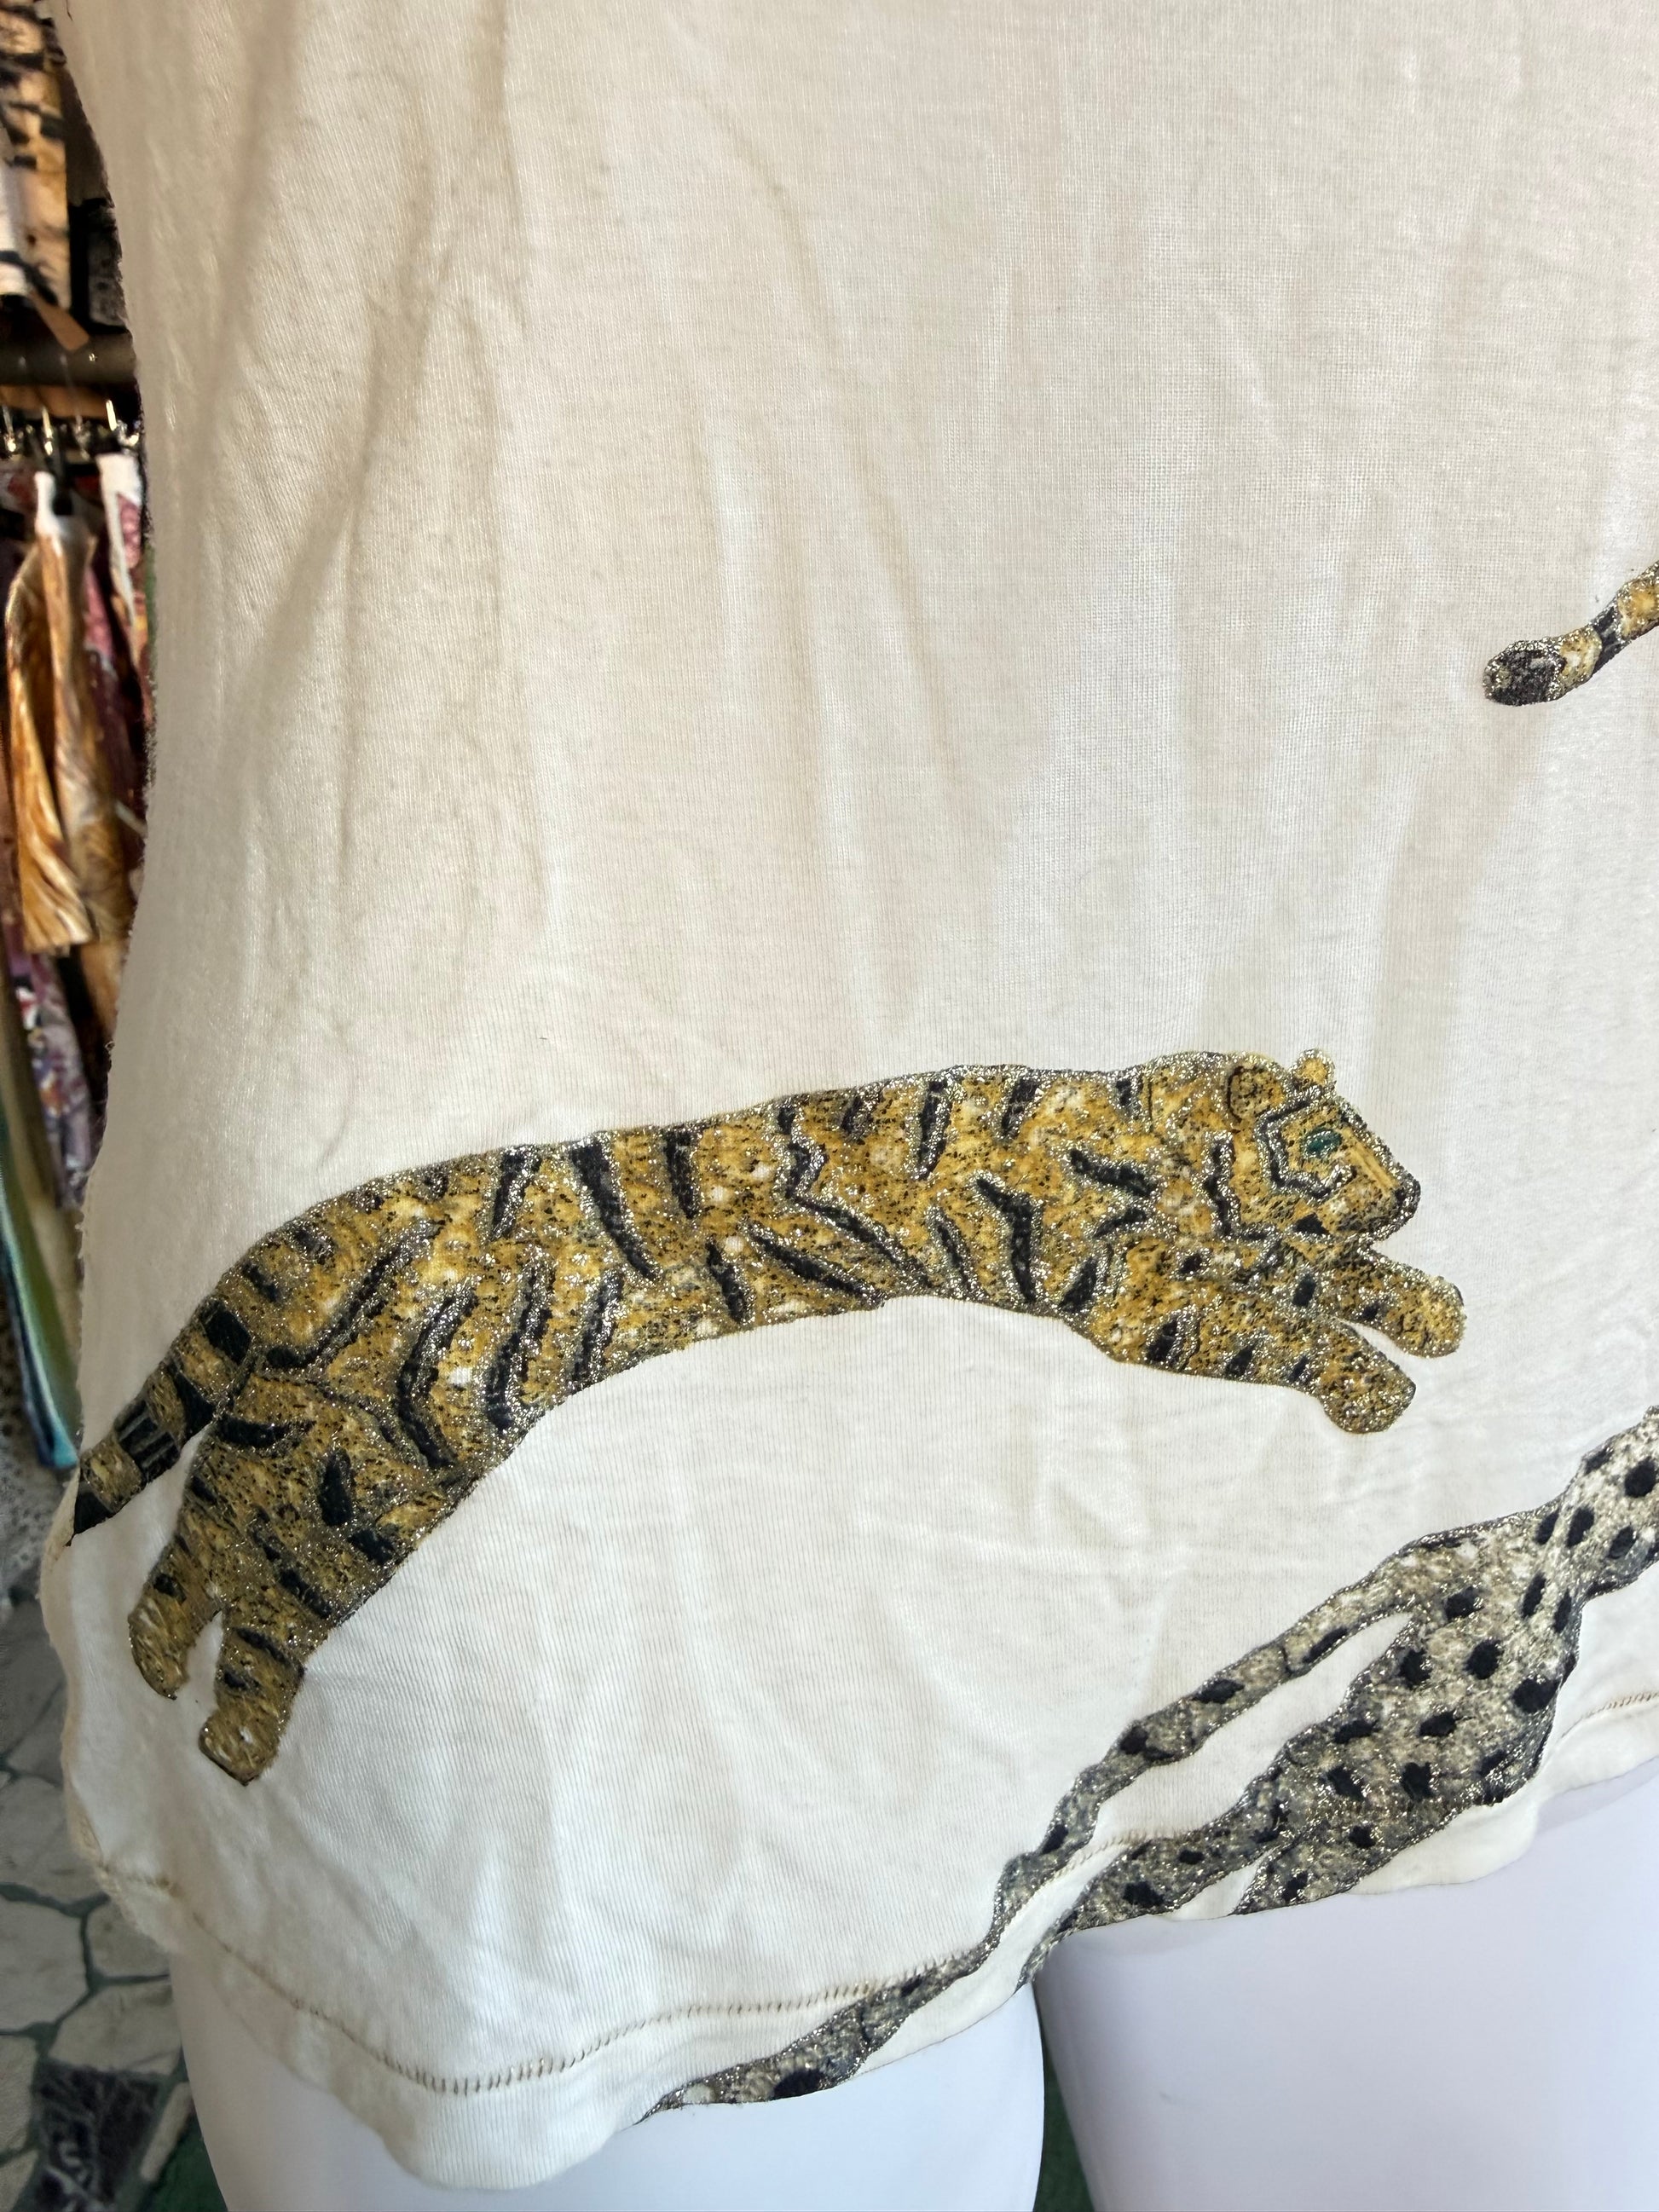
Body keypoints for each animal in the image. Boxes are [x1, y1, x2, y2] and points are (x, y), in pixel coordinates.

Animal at [68, 1048, 1464, 1783]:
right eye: (1332, 1148)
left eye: (1375, 1140)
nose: (1411, 1187)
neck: (1149, 1133)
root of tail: (330, 1220)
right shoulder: (1121, 1286)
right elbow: (1276, 1320)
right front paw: (1377, 1380)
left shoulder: (1190, 1254)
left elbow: (1310, 1277)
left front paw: (1428, 1308)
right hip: (371, 1450)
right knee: (247, 1562)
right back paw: (213, 1718)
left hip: (343, 1449)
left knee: (222, 1548)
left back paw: (182, 1691)